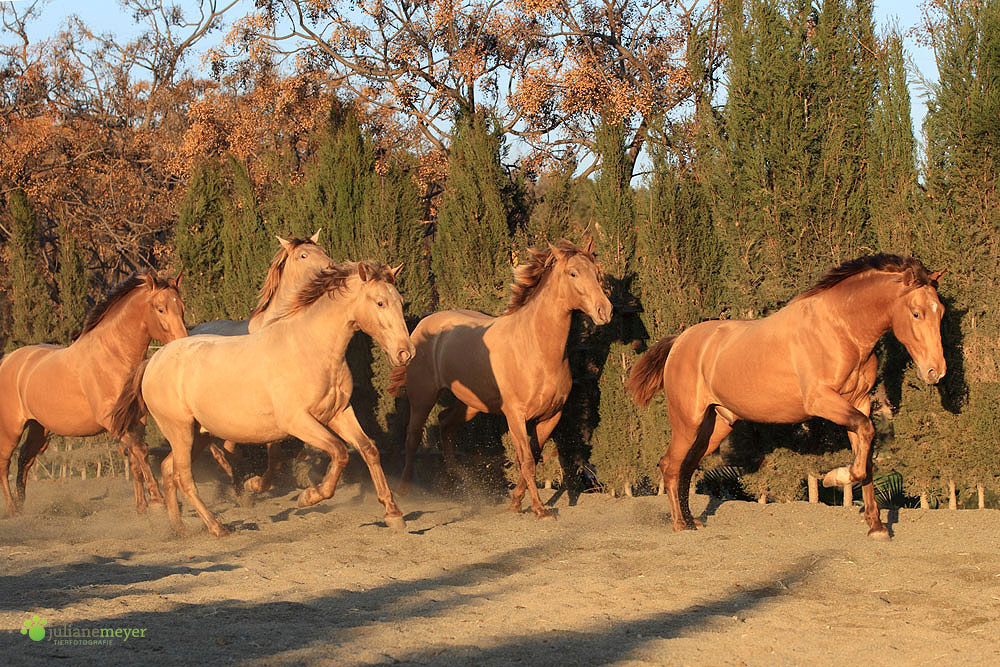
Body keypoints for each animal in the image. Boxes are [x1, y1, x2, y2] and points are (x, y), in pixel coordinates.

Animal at [0, 272, 187, 516]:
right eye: (160, 308)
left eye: (182, 308)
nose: (181, 343)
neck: (112, 355)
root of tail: (7, 360)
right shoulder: (110, 420)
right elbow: (140, 450)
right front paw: (157, 500)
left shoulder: (135, 420)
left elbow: (134, 456)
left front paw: (142, 506)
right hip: (10, 429)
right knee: (4, 463)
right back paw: (12, 509)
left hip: (39, 429)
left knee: (24, 459)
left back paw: (22, 506)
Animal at [113, 260, 414, 536]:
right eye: (379, 302)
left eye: (399, 302)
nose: (405, 352)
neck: (311, 347)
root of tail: (153, 361)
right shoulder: (298, 421)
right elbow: (339, 452)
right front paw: (308, 497)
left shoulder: (339, 413)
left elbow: (368, 449)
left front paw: (393, 514)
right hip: (180, 431)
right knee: (185, 478)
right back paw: (217, 527)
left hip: (198, 434)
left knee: (168, 469)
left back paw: (178, 528)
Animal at [388, 240, 608, 520]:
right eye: (573, 273)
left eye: (597, 272)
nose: (605, 310)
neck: (536, 348)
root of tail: (423, 325)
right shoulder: (515, 415)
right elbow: (526, 460)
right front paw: (540, 509)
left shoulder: (551, 416)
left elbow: (534, 456)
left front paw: (515, 503)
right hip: (423, 396)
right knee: (413, 435)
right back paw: (404, 490)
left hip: (470, 404)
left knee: (445, 424)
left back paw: (455, 481)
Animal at [628, 253, 948, 540]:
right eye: (916, 313)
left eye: (941, 312)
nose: (936, 371)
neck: (840, 329)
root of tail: (679, 341)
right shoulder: (822, 401)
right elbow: (865, 439)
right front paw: (835, 478)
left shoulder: (860, 403)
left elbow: (866, 455)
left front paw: (877, 527)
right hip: (688, 422)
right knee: (670, 465)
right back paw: (680, 524)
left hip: (715, 427)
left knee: (687, 466)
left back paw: (692, 520)